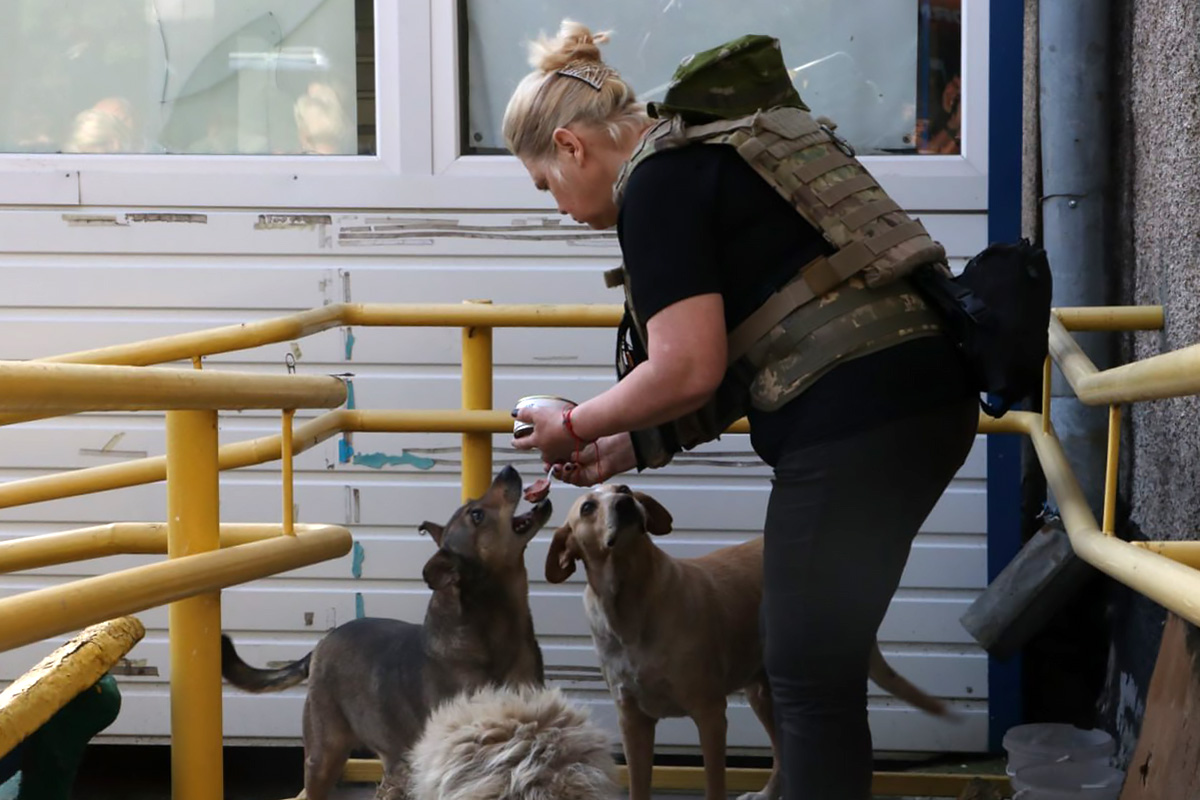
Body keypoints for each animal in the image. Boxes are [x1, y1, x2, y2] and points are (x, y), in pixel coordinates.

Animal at [549, 484, 950, 800]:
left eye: (625, 488)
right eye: (588, 507)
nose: (625, 503)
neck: (631, 601)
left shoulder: (710, 714)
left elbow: (714, 786)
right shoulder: (633, 721)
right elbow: (638, 787)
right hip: (763, 692)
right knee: (782, 754)